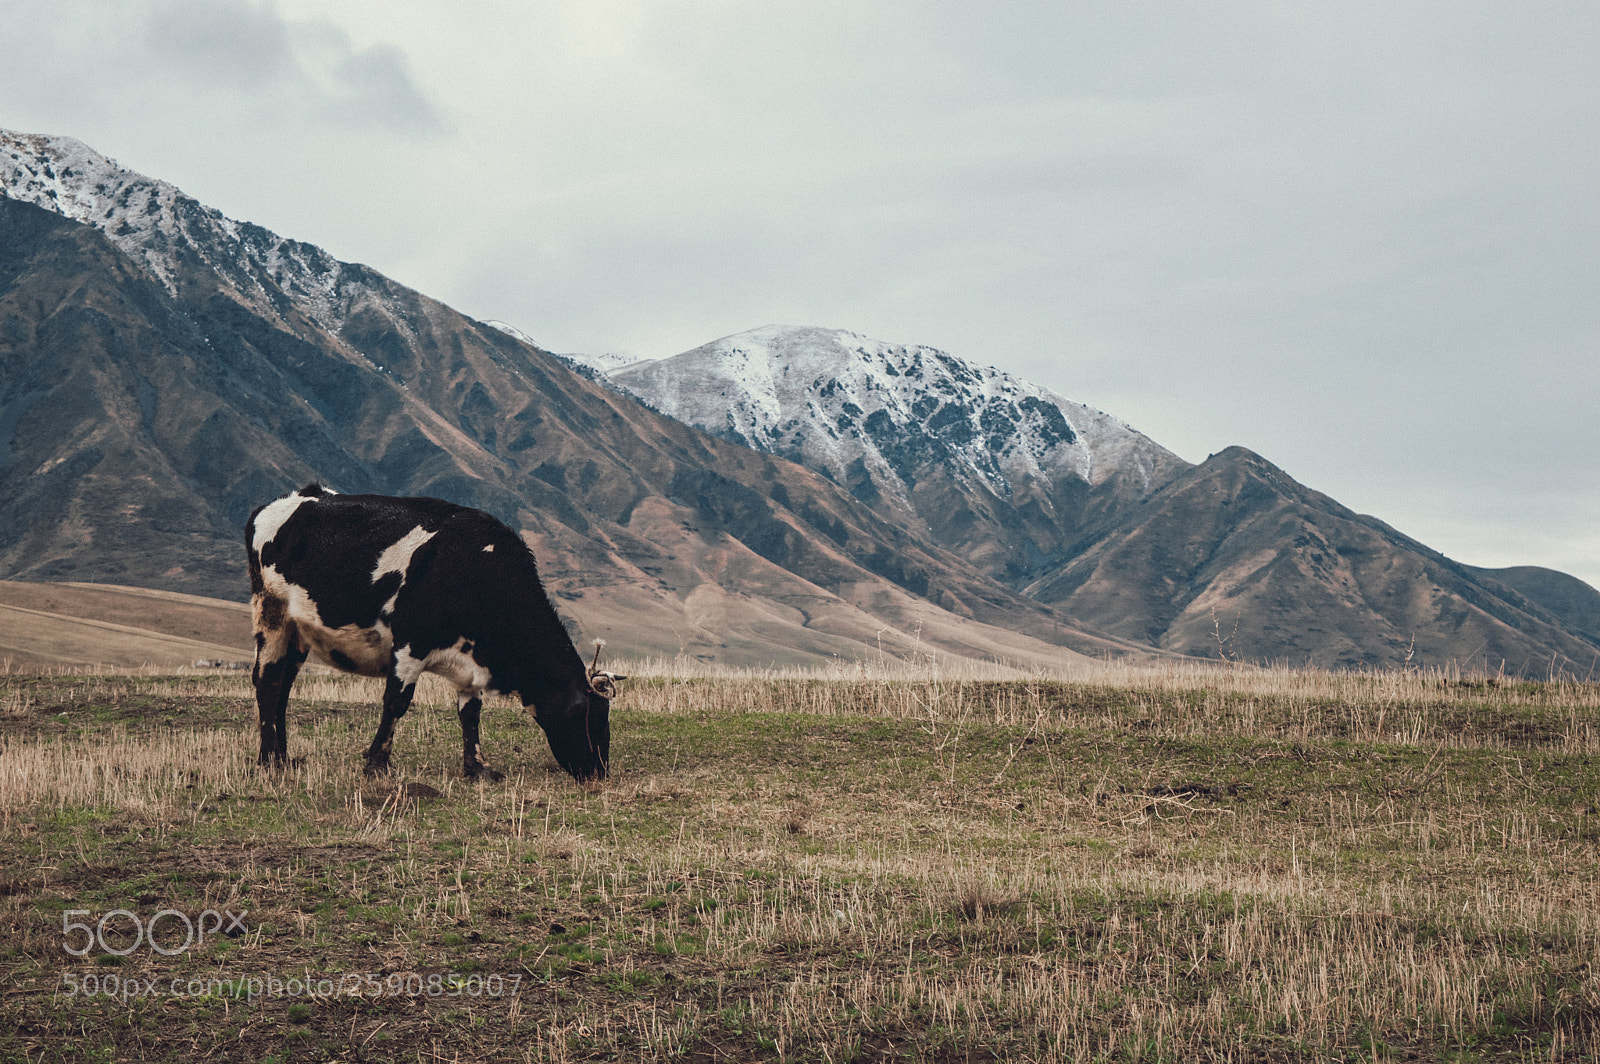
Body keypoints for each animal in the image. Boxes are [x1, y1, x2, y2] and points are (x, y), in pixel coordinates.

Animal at [245, 483, 621, 782]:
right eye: (584, 714)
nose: (597, 770)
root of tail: (282, 502)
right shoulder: (410, 644)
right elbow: (396, 702)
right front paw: (377, 765)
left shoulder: (472, 663)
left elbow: (470, 714)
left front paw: (477, 768)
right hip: (271, 615)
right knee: (267, 682)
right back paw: (268, 761)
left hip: (298, 634)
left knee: (283, 686)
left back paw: (283, 756)